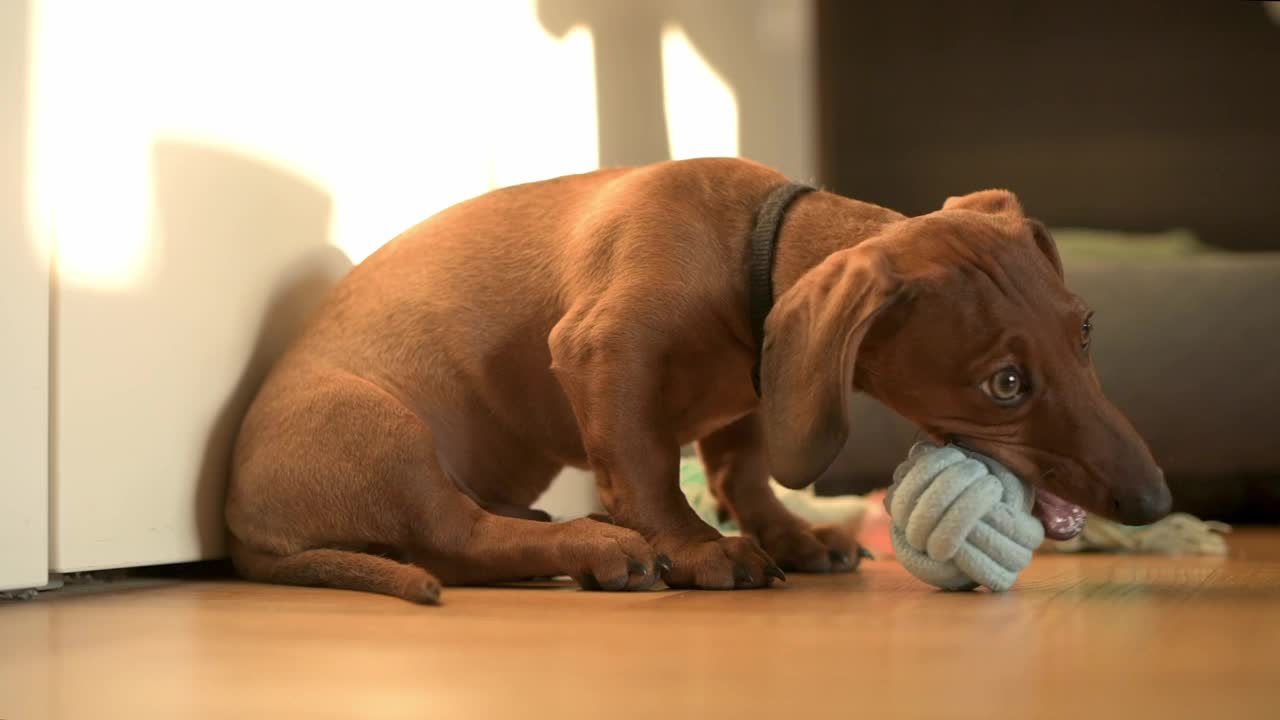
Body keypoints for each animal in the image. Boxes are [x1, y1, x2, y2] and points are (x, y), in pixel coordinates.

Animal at [227, 156, 1172, 599]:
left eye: (1086, 331)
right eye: (1005, 384)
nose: (1156, 503)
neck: (744, 242)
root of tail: (241, 529)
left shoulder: (753, 398)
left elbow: (742, 472)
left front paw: (790, 535)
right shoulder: (603, 351)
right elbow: (645, 467)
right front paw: (694, 548)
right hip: (385, 432)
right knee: (455, 534)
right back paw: (596, 546)